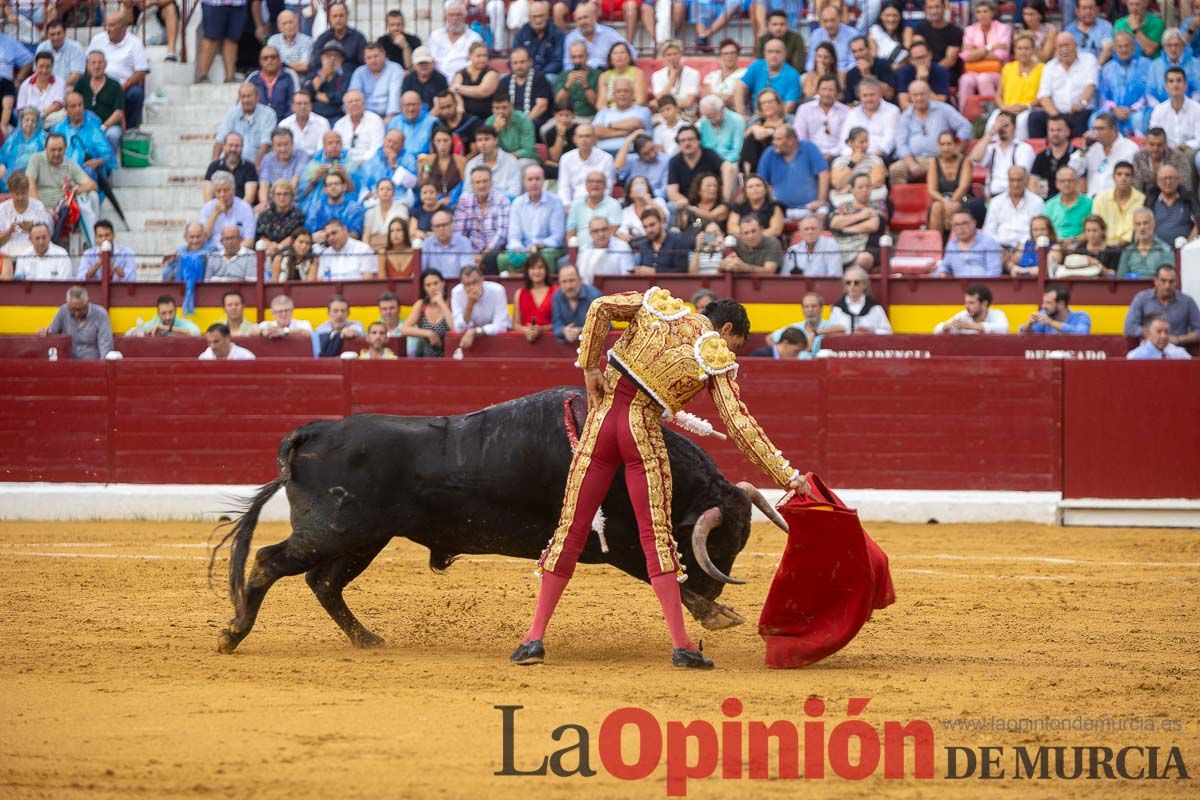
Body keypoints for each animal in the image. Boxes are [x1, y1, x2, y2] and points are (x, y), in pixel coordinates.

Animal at [212, 383, 787, 652]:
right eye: (721, 543)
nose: (714, 588)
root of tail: (313, 431)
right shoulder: (617, 541)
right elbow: (659, 573)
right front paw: (716, 613)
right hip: (334, 530)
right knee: (270, 561)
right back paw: (233, 633)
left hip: (364, 537)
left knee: (323, 582)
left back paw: (367, 640)